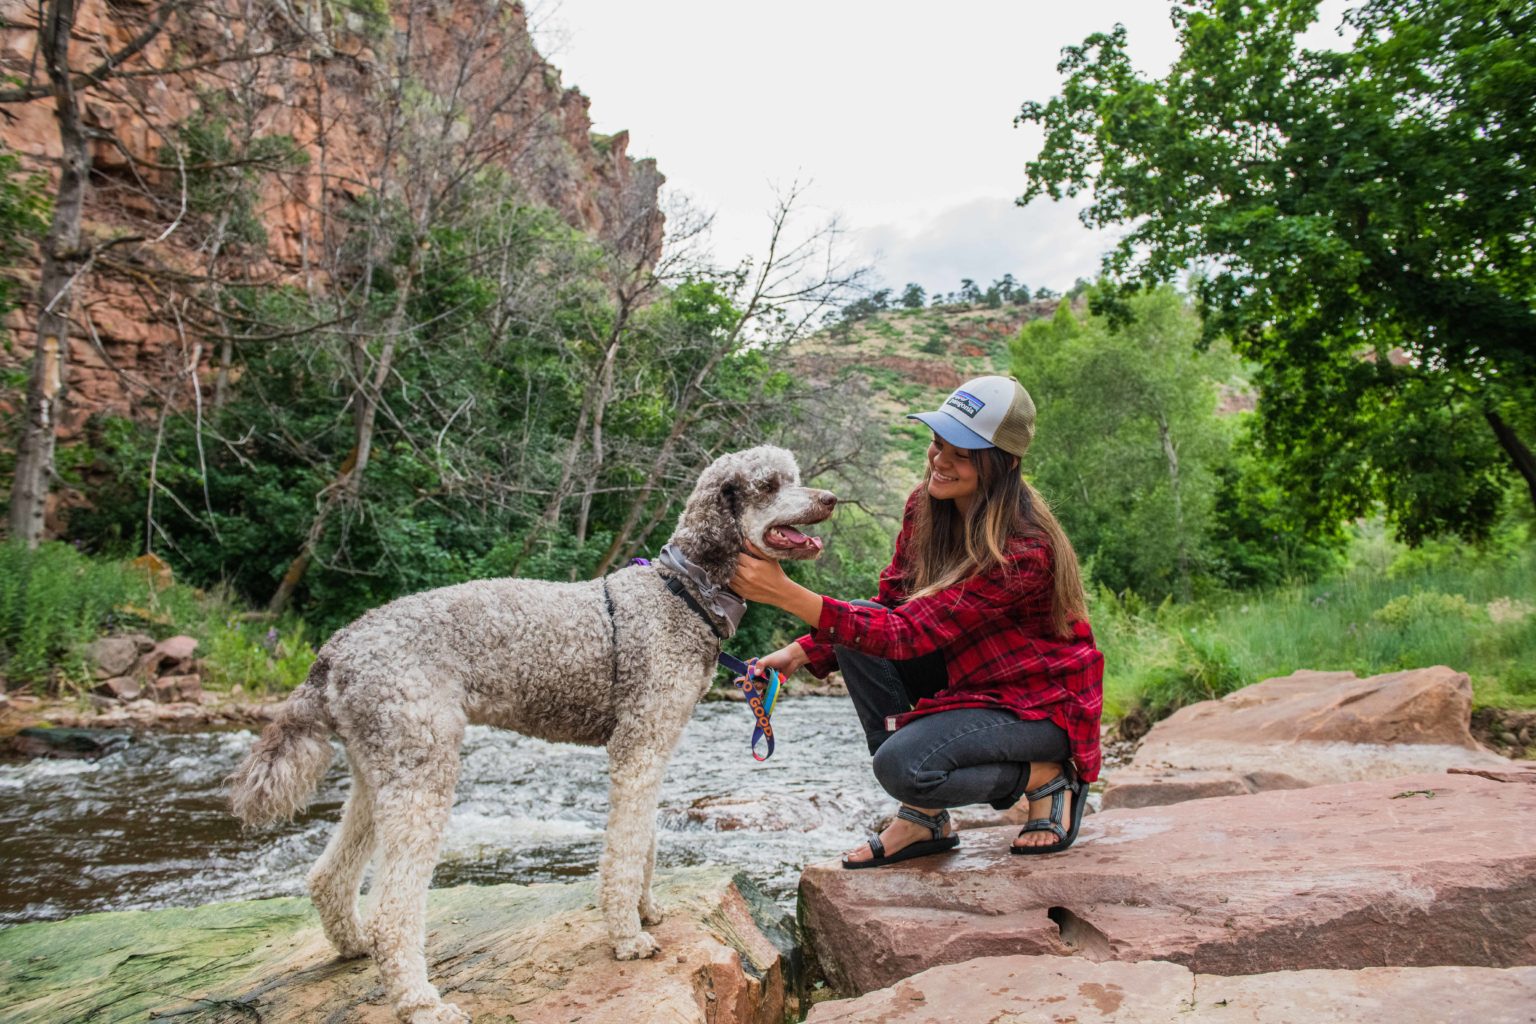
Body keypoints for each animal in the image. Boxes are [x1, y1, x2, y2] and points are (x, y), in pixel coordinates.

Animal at [224, 445, 841, 1024]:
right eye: (770, 484)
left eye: (794, 475)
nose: (831, 499)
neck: (680, 593)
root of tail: (338, 646)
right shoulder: (637, 750)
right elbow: (623, 852)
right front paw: (627, 935)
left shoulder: (655, 749)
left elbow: (645, 843)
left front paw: (646, 909)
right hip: (423, 774)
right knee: (393, 914)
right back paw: (421, 1003)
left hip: (379, 772)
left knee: (329, 876)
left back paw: (353, 946)